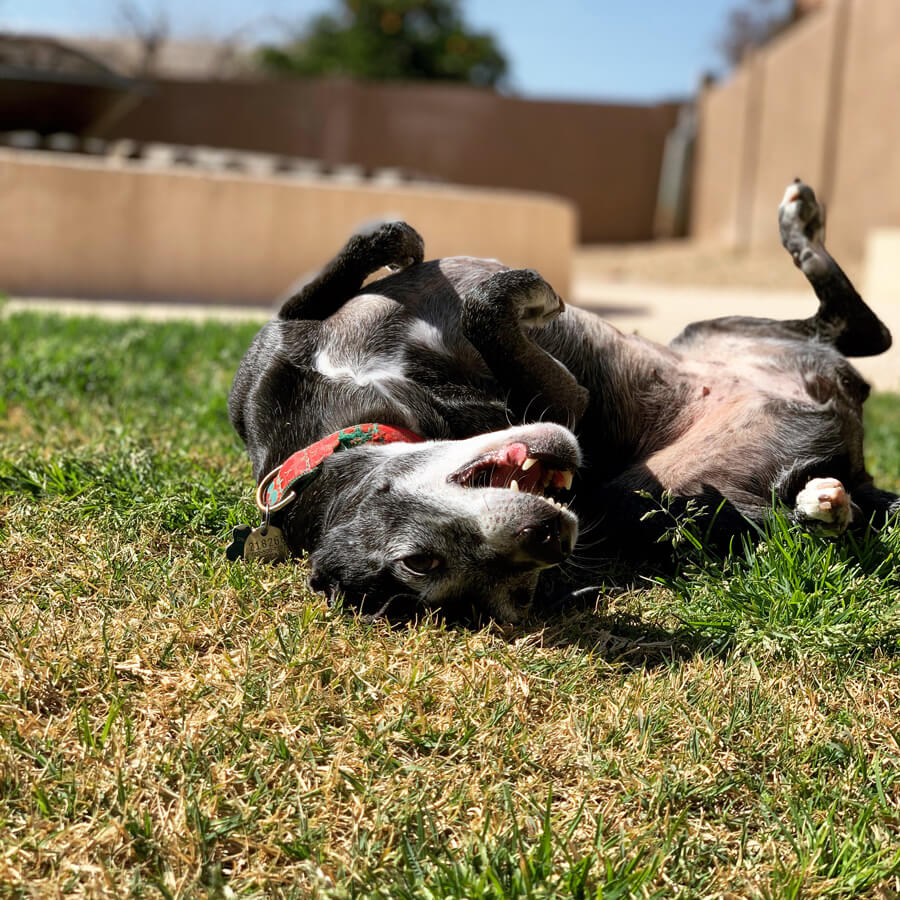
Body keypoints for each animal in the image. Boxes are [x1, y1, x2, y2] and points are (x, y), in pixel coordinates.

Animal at [229, 179, 896, 624]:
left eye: (416, 564)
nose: (550, 539)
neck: (341, 424)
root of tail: (855, 465)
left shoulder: (276, 348)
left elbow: (338, 272)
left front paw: (408, 248)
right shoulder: (563, 403)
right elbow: (488, 313)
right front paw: (529, 296)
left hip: (716, 328)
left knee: (862, 330)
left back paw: (800, 223)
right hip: (650, 498)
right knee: (797, 510)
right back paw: (823, 505)